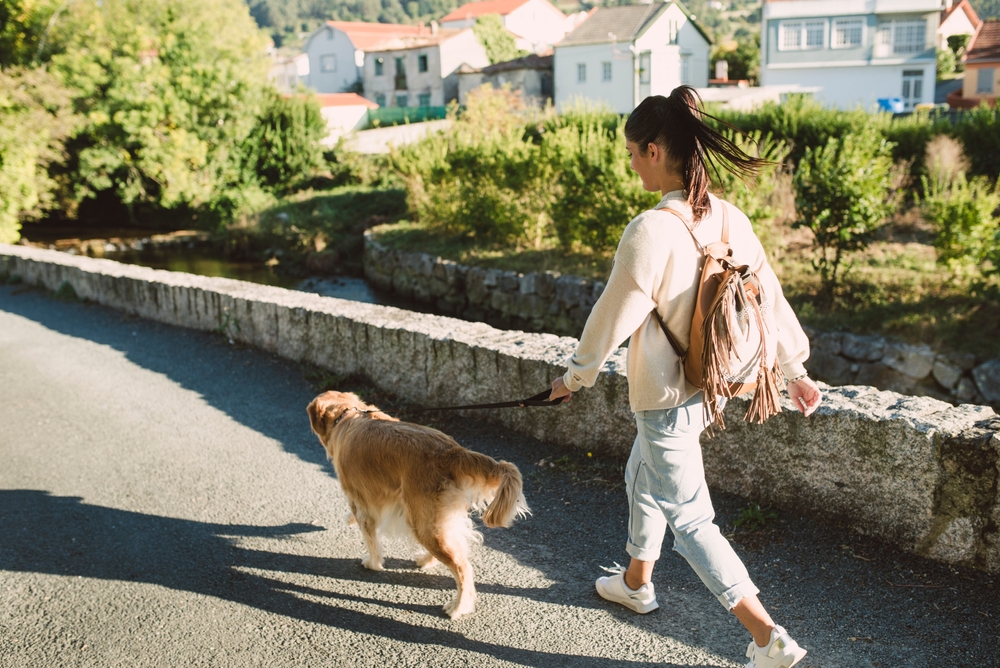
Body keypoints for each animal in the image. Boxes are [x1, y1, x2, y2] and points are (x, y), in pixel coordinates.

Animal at [308, 388, 532, 620]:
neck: (347, 415)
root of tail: (452, 452)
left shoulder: (360, 499)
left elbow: (370, 538)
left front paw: (372, 563)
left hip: (423, 520)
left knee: (463, 568)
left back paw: (459, 606)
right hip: (433, 520)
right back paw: (426, 560)